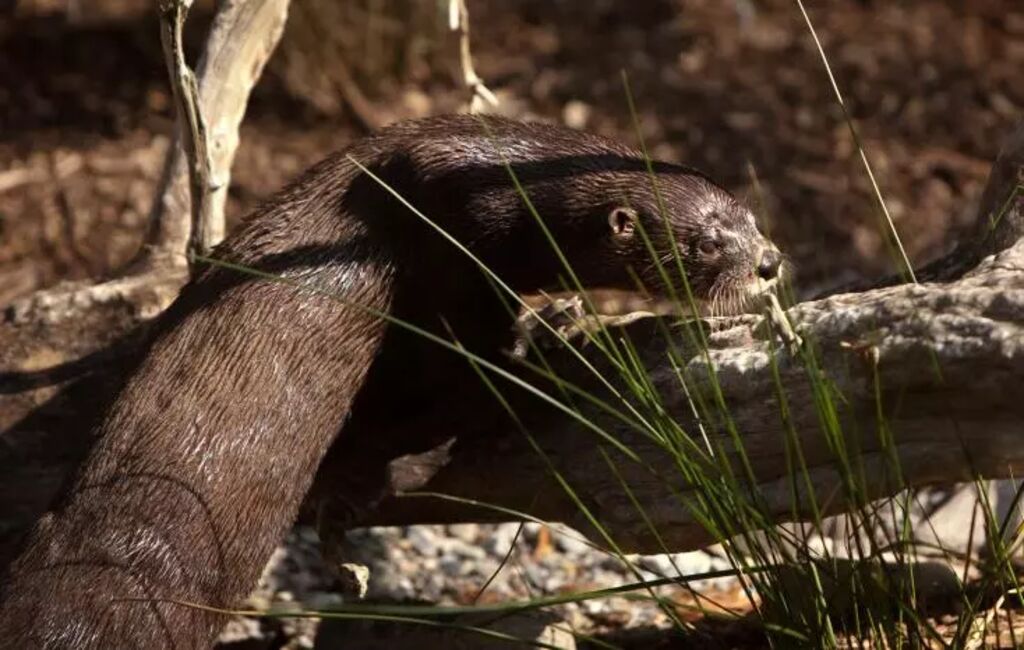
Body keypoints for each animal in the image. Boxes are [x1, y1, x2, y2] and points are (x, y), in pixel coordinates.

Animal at [0, 114, 774, 646]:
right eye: (706, 243)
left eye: (751, 216)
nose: (768, 263)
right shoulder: (455, 247)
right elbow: (481, 367)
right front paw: (556, 334)